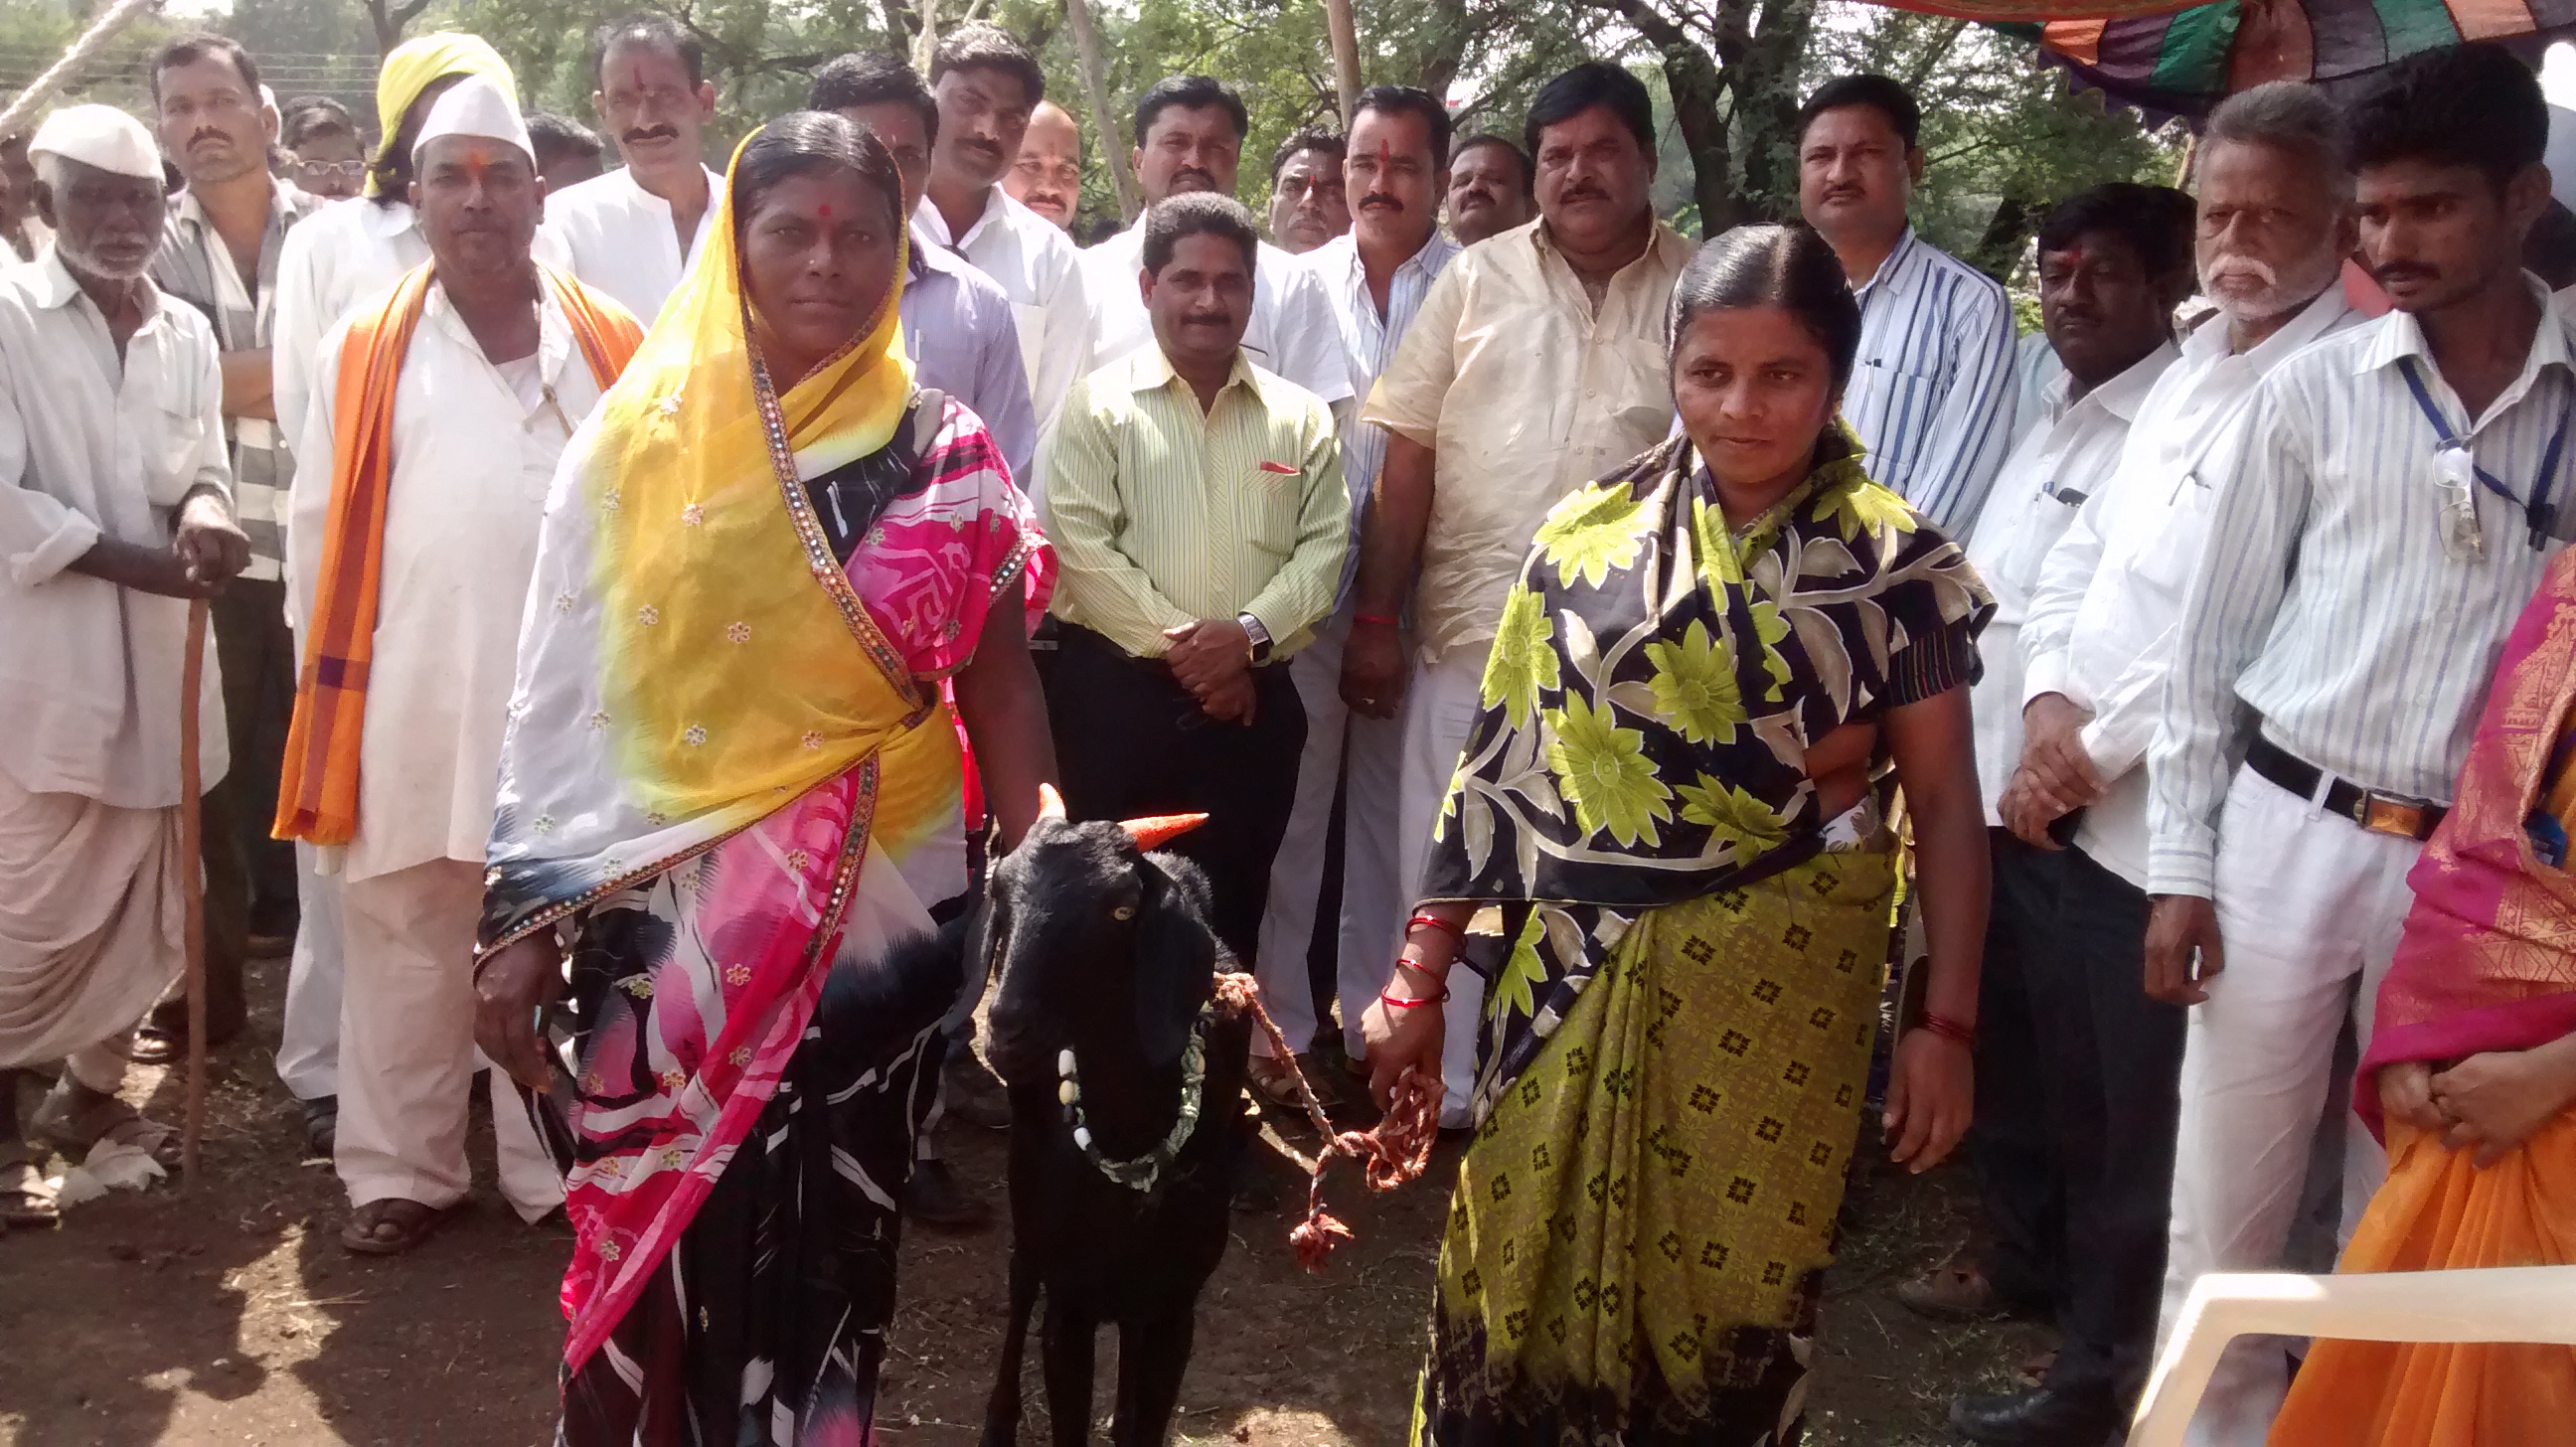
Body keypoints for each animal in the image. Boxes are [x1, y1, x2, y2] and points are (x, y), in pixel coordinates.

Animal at [973, 787, 1256, 1441]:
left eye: (1122, 910)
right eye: (1000, 889)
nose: (1006, 1031)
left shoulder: (1176, 1302)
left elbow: (1145, 1423)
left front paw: (1127, 1419)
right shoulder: (1069, 1298)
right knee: (1019, 1280)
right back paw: (999, 1419)